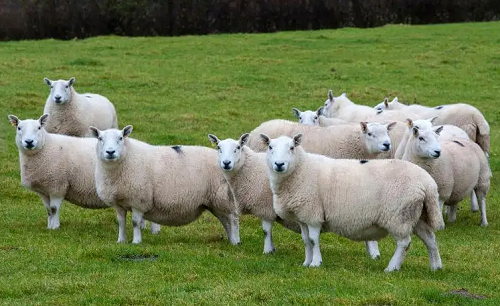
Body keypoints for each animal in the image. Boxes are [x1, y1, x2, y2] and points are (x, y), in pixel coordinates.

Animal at [6, 113, 160, 233]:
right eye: (19, 128)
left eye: (39, 128)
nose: (29, 142)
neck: (46, 147)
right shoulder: (44, 189)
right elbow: (48, 210)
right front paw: (49, 226)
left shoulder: (58, 185)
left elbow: (54, 209)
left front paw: (55, 227)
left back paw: (155, 231)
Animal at [91, 124, 241, 244]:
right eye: (100, 138)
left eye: (121, 138)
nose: (110, 152)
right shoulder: (119, 202)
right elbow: (121, 222)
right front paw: (121, 241)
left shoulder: (139, 200)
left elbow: (135, 223)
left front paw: (136, 242)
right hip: (215, 201)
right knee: (226, 220)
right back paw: (230, 239)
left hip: (222, 197)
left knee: (233, 219)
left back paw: (235, 242)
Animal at [260, 134, 444, 270]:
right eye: (270, 147)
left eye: (291, 148)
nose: (279, 164)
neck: (300, 170)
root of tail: (428, 183)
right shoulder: (303, 216)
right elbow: (306, 241)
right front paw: (306, 262)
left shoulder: (313, 214)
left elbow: (313, 240)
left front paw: (315, 263)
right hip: (416, 214)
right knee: (430, 239)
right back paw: (436, 267)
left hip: (399, 215)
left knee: (404, 243)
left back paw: (391, 268)